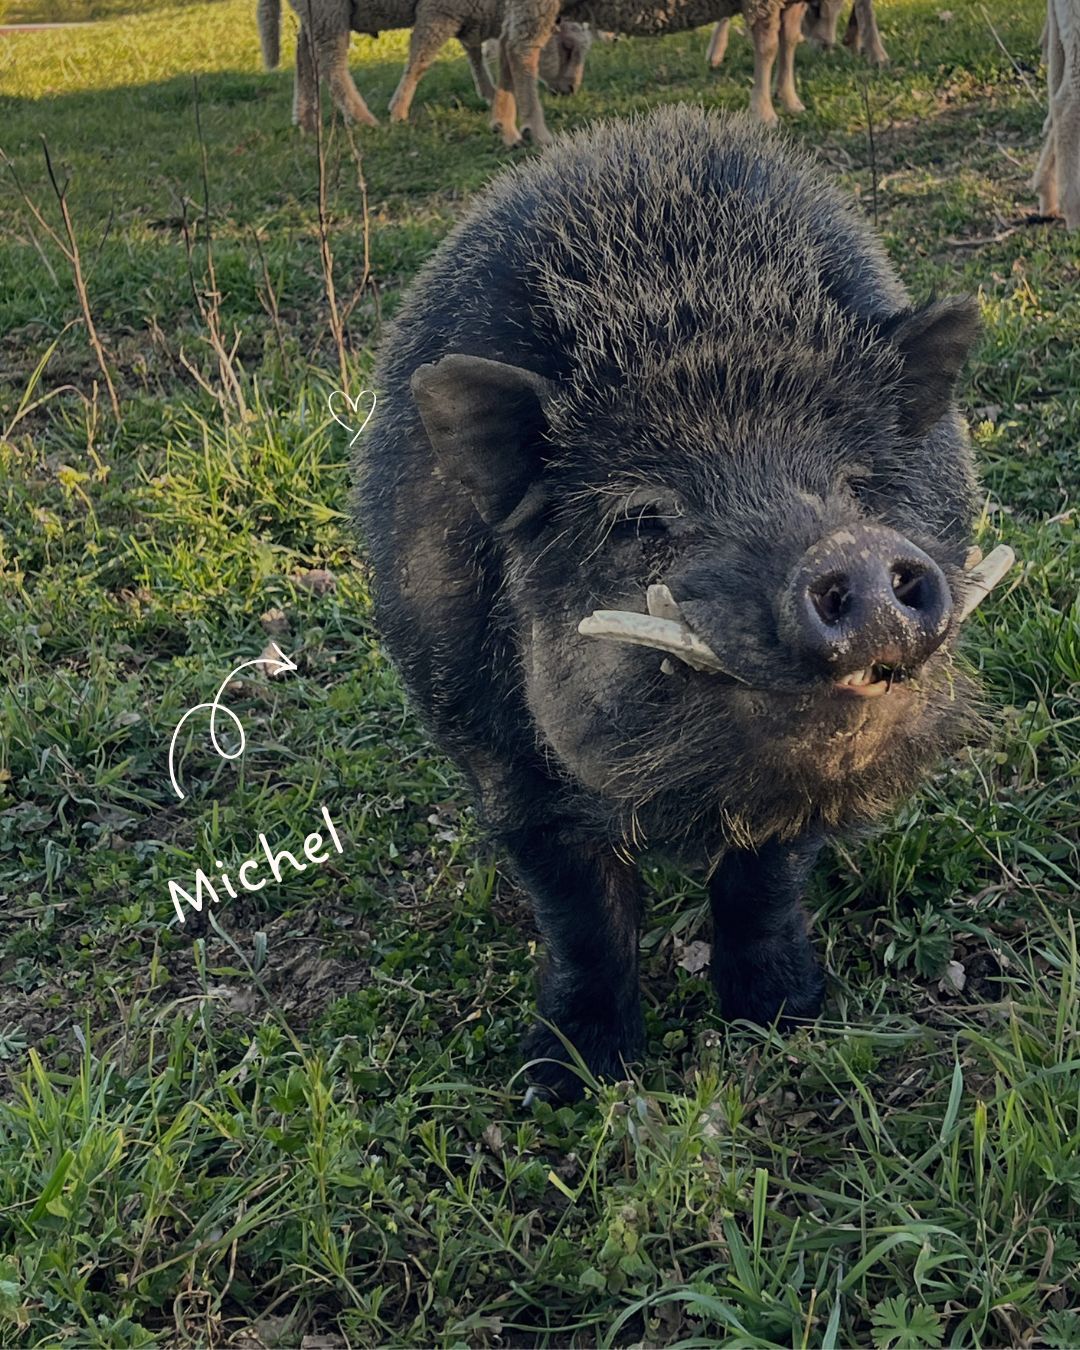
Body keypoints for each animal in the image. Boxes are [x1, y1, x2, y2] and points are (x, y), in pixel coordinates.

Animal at [353, 106, 985, 1101]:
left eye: (856, 484)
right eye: (644, 517)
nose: (851, 550)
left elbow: (763, 881)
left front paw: (783, 1016)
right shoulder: (500, 760)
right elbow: (580, 915)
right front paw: (565, 1078)